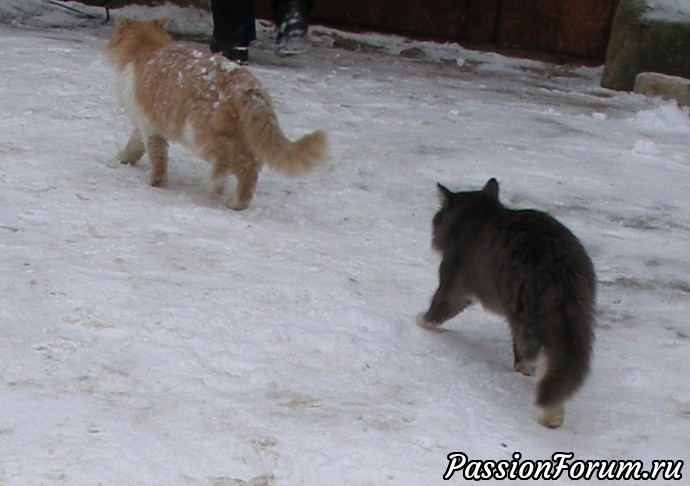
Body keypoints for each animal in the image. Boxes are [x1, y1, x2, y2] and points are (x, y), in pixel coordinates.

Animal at [105, 17, 326, 210]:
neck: (147, 47)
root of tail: (244, 83)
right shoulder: (145, 124)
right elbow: (135, 145)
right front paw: (126, 158)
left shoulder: (149, 125)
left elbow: (156, 158)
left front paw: (154, 182)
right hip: (241, 135)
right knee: (251, 166)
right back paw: (237, 203)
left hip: (198, 133)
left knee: (230, 163)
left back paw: (218, 189)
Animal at [416, 179, 596, 428]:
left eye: (439, 216)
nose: (434, 222)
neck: (478, 215)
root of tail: (558, 263)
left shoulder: (454, 284)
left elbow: (438, 308)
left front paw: (422, 321)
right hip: (574, 316)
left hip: (524, 315)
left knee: (536, 356)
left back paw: (547, 408)